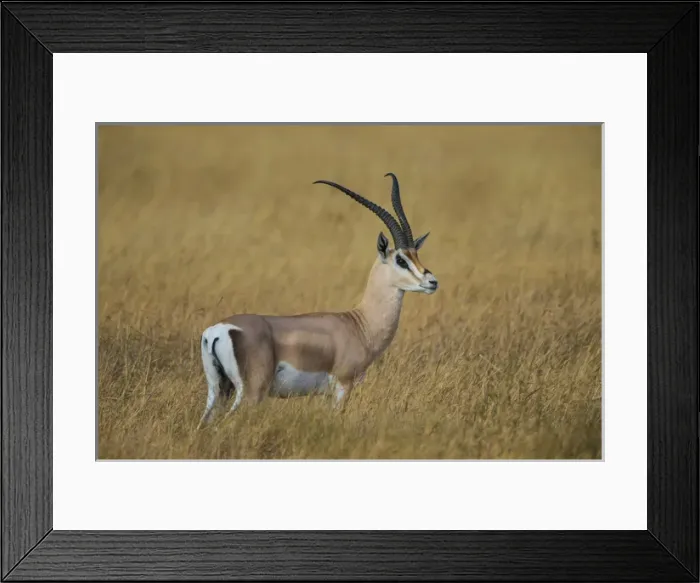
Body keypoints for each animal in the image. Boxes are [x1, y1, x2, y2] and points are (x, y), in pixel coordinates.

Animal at [197, 173, 438, 427]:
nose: (432, 281)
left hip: (218, 390)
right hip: (250, 393)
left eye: (416, 255)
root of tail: (217, 330)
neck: (359, 324)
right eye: (401, 260)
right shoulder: (342, 385)